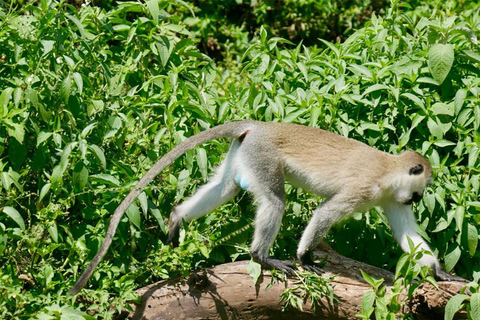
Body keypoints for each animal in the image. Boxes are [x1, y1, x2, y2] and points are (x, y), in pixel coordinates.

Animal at [70, 120, 462, 296]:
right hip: (262, 155)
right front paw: (304, 256)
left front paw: (439, 272)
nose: (416, 199)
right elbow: (326, 212)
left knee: (226, 188)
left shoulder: (390, 198)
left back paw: (177, 217)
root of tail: (258, 125)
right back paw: (262, 256)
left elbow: (408, 235)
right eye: (421, 191)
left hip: (244, 152)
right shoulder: (363, 189)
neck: (388, 174)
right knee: (275, 200)